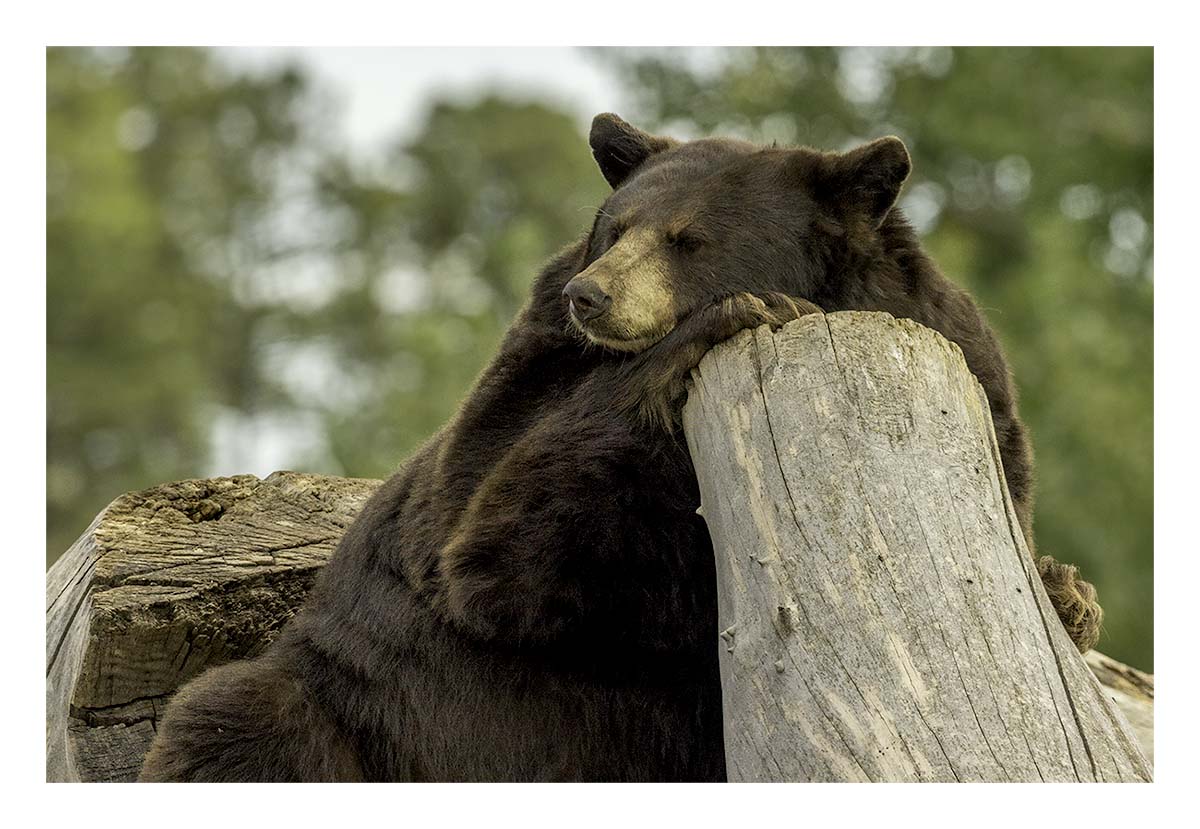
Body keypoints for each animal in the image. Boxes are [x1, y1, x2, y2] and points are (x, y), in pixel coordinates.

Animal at [139, 113, 1101, 782]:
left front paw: (1066, 588)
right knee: (236, 718)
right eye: (617, 226)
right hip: (367, 711)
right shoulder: (528, 392)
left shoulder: (963, 365)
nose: (591, 295)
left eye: (687, 238)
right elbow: (495, 551)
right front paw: (727, 320)